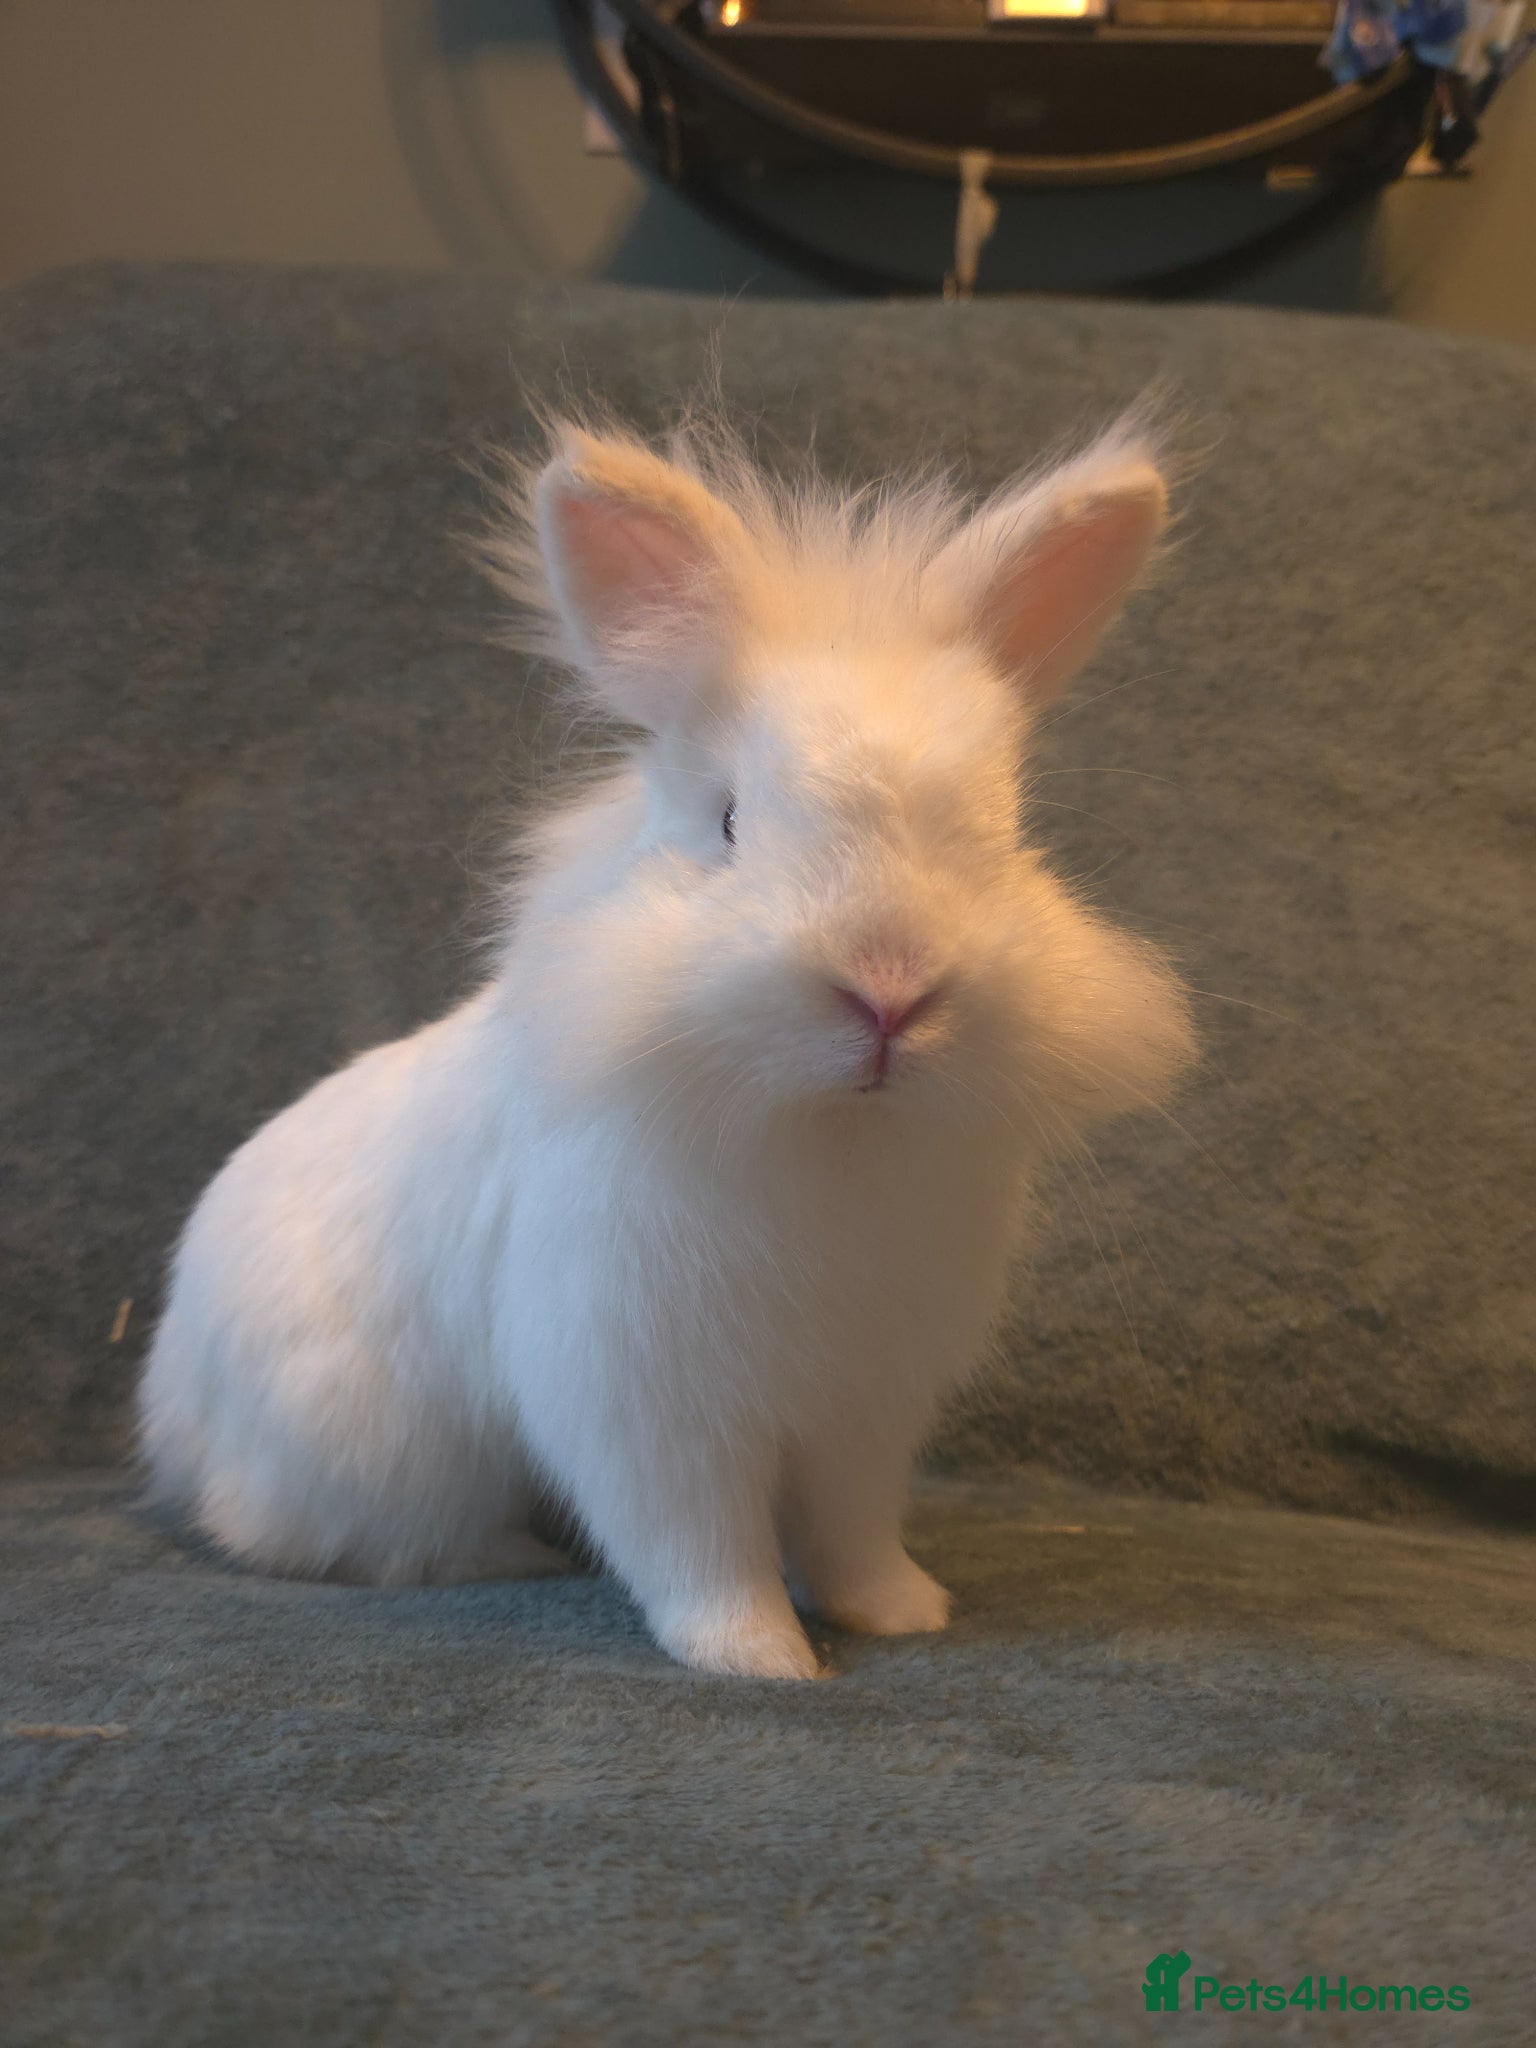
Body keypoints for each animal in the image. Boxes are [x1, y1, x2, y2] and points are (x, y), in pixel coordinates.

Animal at [139, 410, 1196, 1680]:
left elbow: (852, 1530)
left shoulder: (865, 1407)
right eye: (729, 820)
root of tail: (175, 1393)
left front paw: (904, 1610)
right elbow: (697, 1542)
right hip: (365, 1459)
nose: (889, 989)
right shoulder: (646, 1400)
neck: (832, 1135)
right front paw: (758, 1656)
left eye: (1008, 831)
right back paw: (511, 1553)